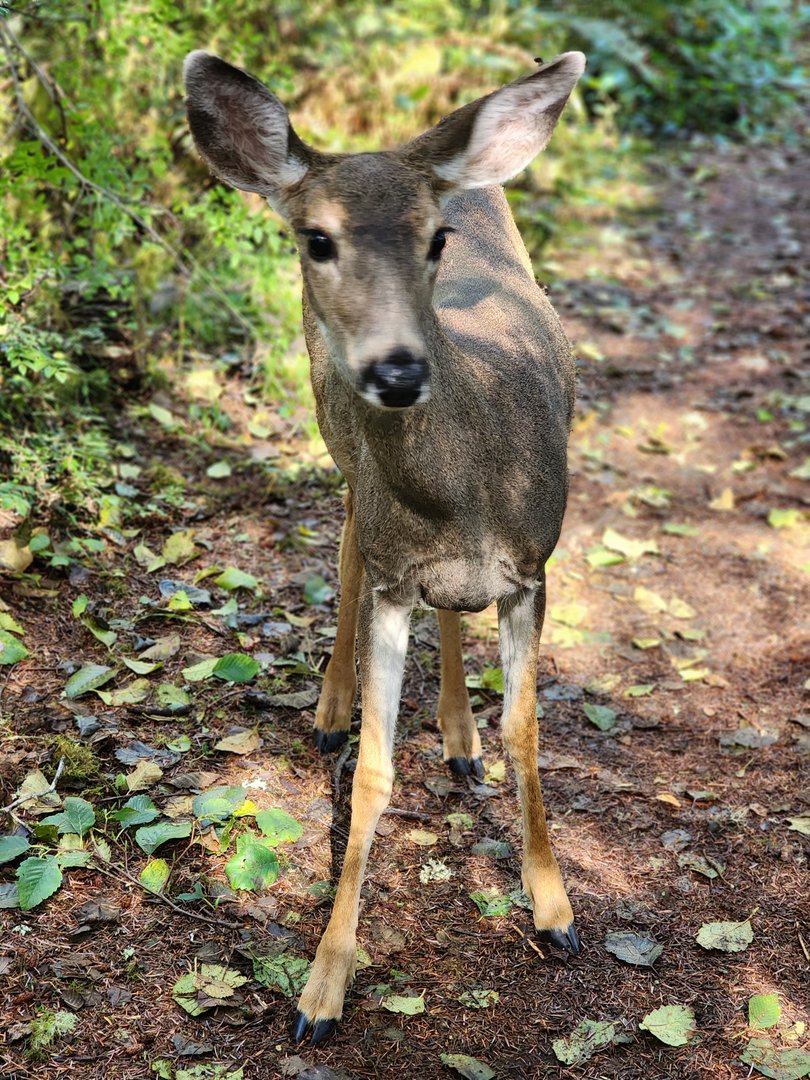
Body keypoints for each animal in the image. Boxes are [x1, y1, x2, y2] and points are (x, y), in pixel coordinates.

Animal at [184, 48, 586, 1044]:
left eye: (434, 239)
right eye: (316, 239)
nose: (398, 370)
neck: (464, 494)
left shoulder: (534, 568)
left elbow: (525, 731)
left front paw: (554, 909)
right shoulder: (397, 571)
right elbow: (370, 772)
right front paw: (323, 987)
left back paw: (457, 734)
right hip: (334, 431)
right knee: (348, 538)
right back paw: (333, 705)